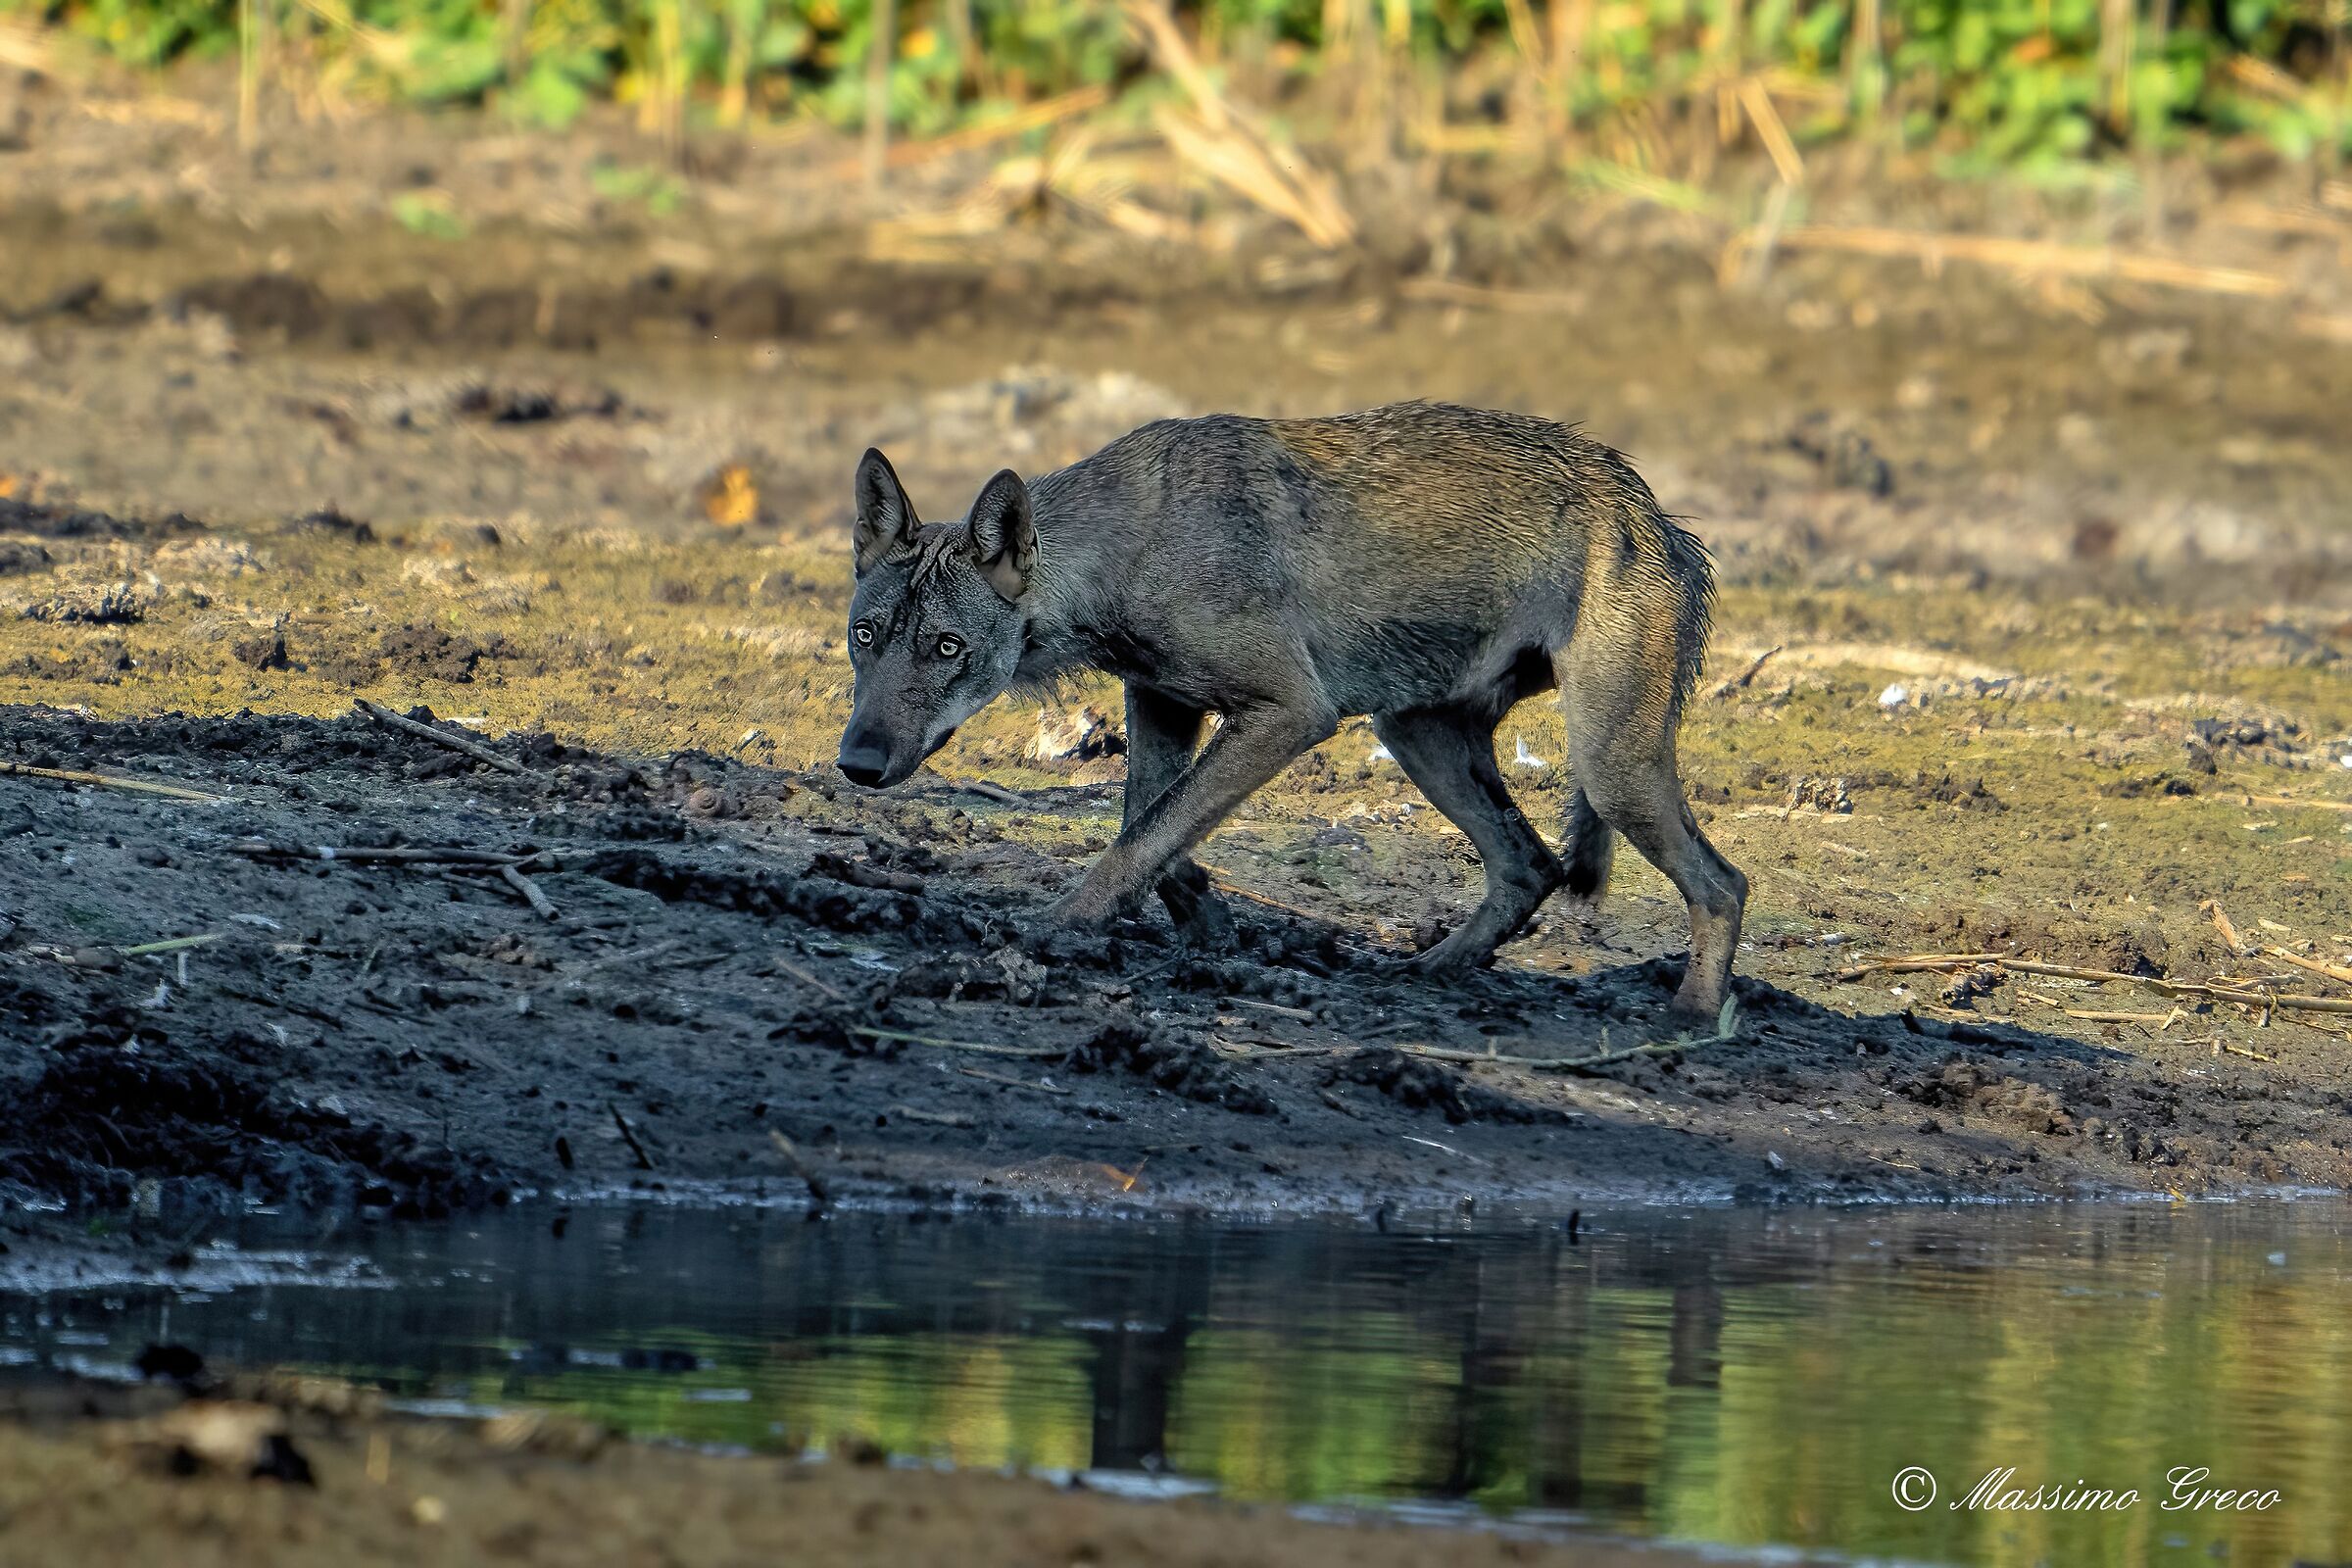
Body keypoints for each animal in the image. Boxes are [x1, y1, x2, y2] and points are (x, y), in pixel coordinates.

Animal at [835, 401, 1746, 1022]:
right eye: (865, 635)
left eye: (946, 648)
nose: (856, 765)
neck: (1126, 547)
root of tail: (1656, 513)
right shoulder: (1161, 702)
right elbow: (1151, 827)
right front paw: (1207, 924)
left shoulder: (1291, 713)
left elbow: (1142, 837)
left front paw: (1062, 925)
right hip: (1415, 735)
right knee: (1533, 866)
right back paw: (1430, 972)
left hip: (1607, 767)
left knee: (1723, 884)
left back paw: (1692, 1018)